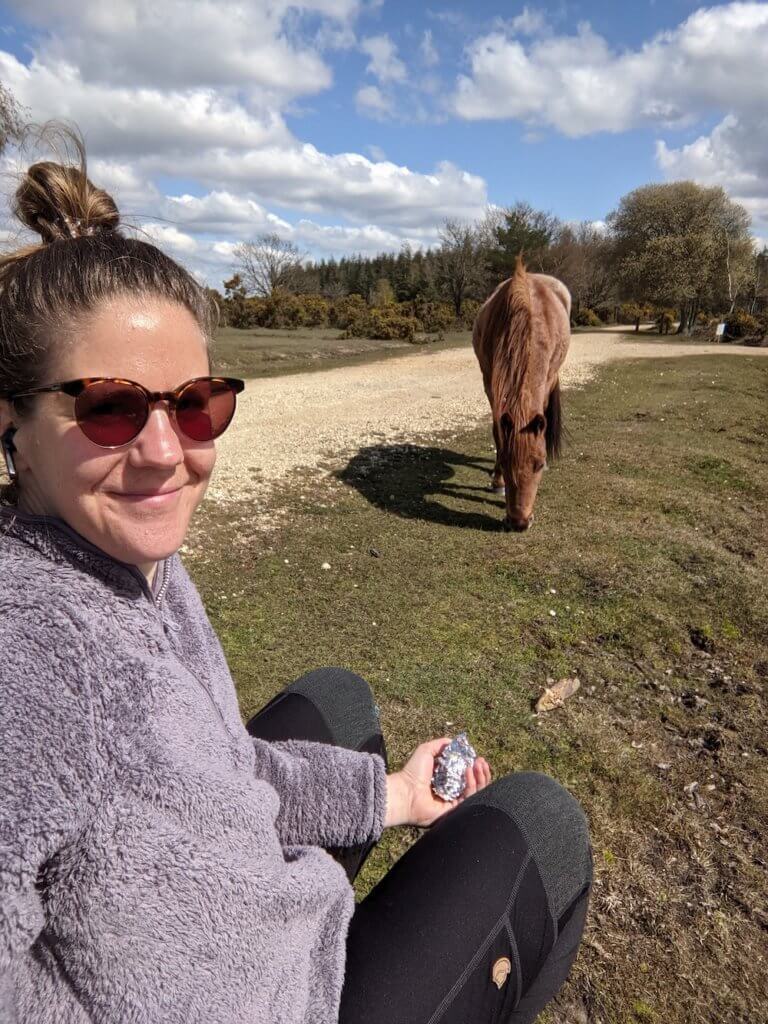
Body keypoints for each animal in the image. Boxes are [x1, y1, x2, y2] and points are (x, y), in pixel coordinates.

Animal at [473, 256, 573, 532]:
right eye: (506, 463)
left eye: (537, 464)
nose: (519, 522)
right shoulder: (490, 384)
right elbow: (497, 433)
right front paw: (497, 483)